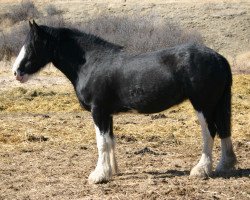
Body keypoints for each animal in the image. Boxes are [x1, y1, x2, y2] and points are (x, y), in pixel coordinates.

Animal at [12, 21, 236, 184]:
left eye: (33, 45)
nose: (16, 73)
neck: (91, 63)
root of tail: (218, 57)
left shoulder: (98, 111)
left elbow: (101, 142)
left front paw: (98, 175)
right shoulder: (107, 114)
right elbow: (110, 141)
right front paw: (112, 171)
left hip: (203, 105)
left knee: (210, 132)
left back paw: (201, 170)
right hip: (217, 105)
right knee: (224, 130)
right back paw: (224, 166)